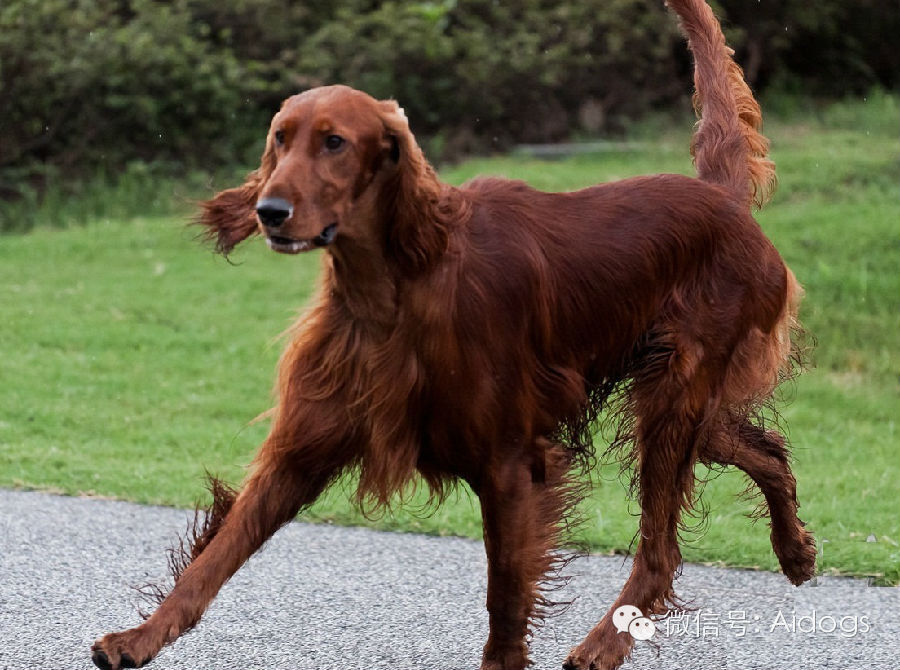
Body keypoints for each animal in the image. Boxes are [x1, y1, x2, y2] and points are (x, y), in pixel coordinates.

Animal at [93, 1, 816, 670]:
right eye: (280, 138)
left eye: (334, 142)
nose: (270, 211)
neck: (394, 288)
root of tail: (722, 200)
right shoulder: (302, 449)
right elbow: (215, 557)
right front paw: (138, 639)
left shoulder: (510, 464)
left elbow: (505, 596)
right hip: (678, 396)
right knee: (763, 449)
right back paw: (796, 552)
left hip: (670, 397)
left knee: (662, 548)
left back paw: (605, 644)